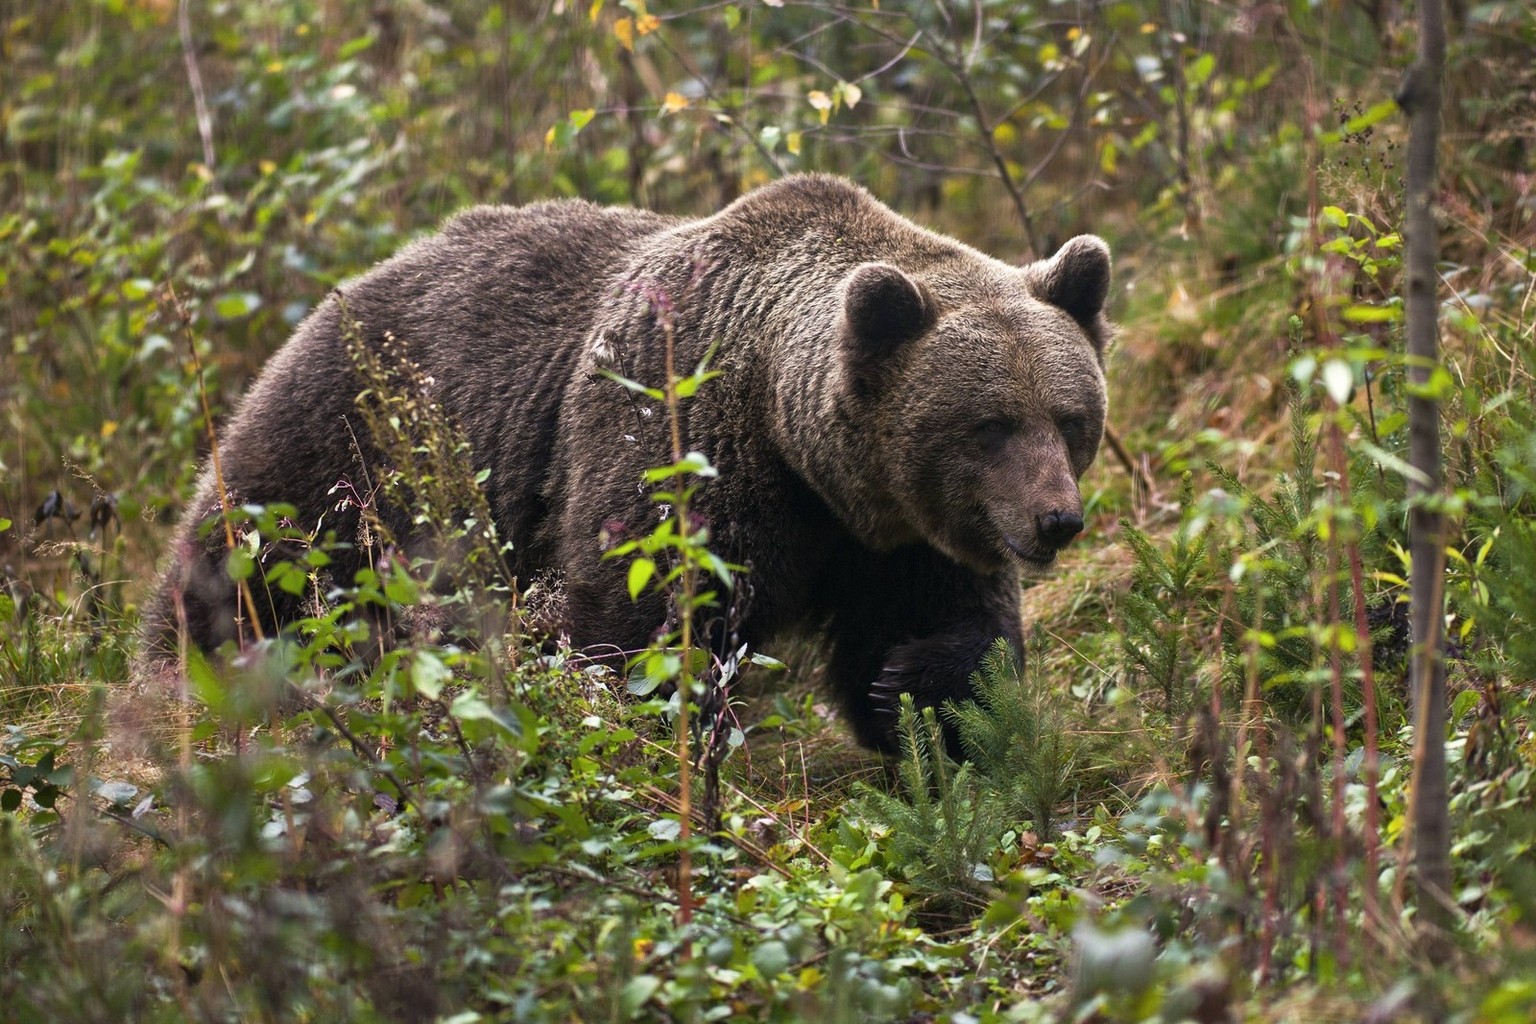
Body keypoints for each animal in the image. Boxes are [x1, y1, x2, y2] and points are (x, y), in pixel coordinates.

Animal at [144, 176, 1112, 752]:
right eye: (989, 425)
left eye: (1070, 420)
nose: (1056, 521)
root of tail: (343, 288)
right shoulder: (678, 441)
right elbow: (641, 627)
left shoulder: (895, 534)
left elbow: (948, 632)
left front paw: (918, 695)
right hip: (349, 451)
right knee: (241, 575)